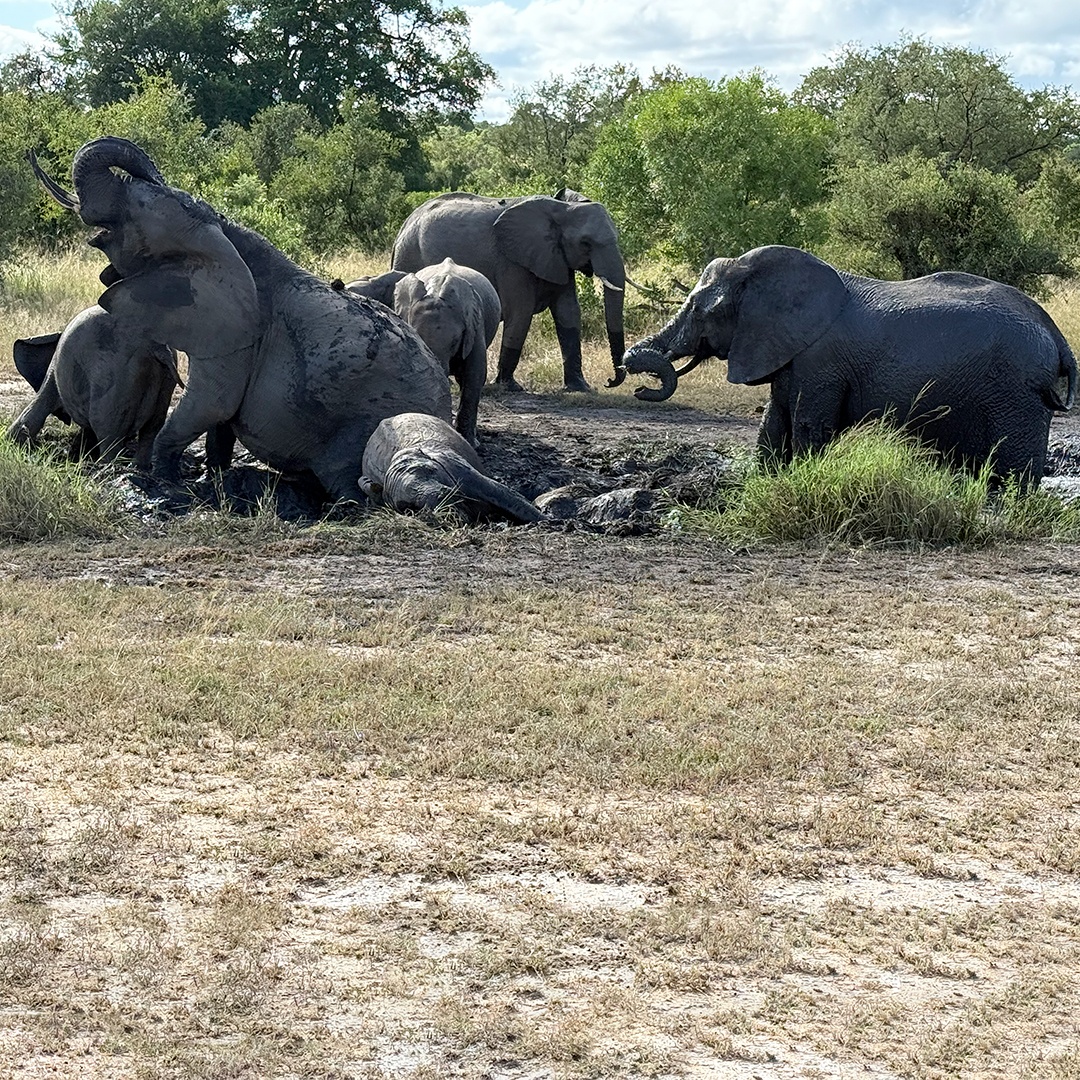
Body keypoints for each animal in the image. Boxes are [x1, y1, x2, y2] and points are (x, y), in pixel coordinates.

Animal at [8, 304, 180, 469]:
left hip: (115, 378)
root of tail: (157, 347)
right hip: (164, 380)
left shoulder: (54, 371)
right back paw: (138, 467)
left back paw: (102, 467)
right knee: (152, 427)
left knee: (107, 430)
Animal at [31, 137, 451, 503]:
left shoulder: (235, 338)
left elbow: (210, 405)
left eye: (138, 204)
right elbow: (220, 425)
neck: (224, 232)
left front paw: (164, 480)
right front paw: (210, 479)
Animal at [391, 188, 627, 393]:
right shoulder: (511, 261)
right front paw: (509, 387)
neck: (561, 207)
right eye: (586, 243)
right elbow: (521, 312)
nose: (609, 381)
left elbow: (568, 313)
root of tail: (405, 225)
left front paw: (580, 388)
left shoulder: (557, 257)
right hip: (409, 254)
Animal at [622, 245, 1077, 485]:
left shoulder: (822, 362)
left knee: (1014, 465)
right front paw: (765, 483)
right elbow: (774, 422)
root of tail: (1056, 336)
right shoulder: (793, 353)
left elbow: (807, 425)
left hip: (1014, 392)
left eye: (701, 310)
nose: (638, 386)